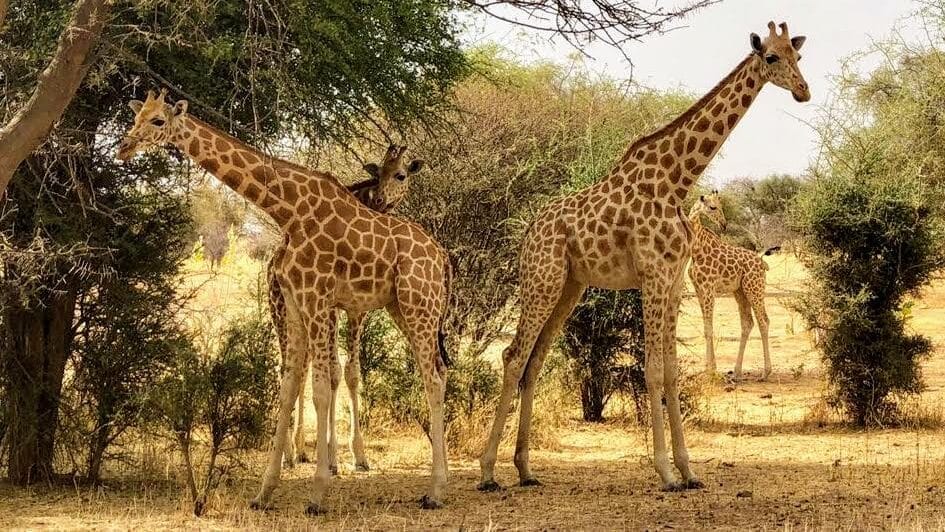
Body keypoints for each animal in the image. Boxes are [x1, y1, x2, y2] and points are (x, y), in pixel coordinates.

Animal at [275, 144, 425, 471]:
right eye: (378, 172)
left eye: (400, 174)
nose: (380, 198)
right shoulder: (335, 308)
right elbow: (335, 373)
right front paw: (334, 457)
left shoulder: (358, 310)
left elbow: (351, 373)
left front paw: (358, 456)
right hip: (281, 311)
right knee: (294, 370)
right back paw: (292, 452)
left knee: (300, 370)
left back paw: (299, 451)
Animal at [688, 191, 780, 380]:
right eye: (712, 207)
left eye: (720, 206)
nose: (723, 224)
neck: (696, 250)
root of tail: (762, 262)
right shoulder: (698, 289)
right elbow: (706, 327)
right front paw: (707, 369)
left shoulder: (709, 288)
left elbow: (709, 328)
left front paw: (711, 370)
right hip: (740, 291)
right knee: (747, 323)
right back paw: (737, 372)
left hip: (754, 288)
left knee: (763, 321)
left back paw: (765, 372)